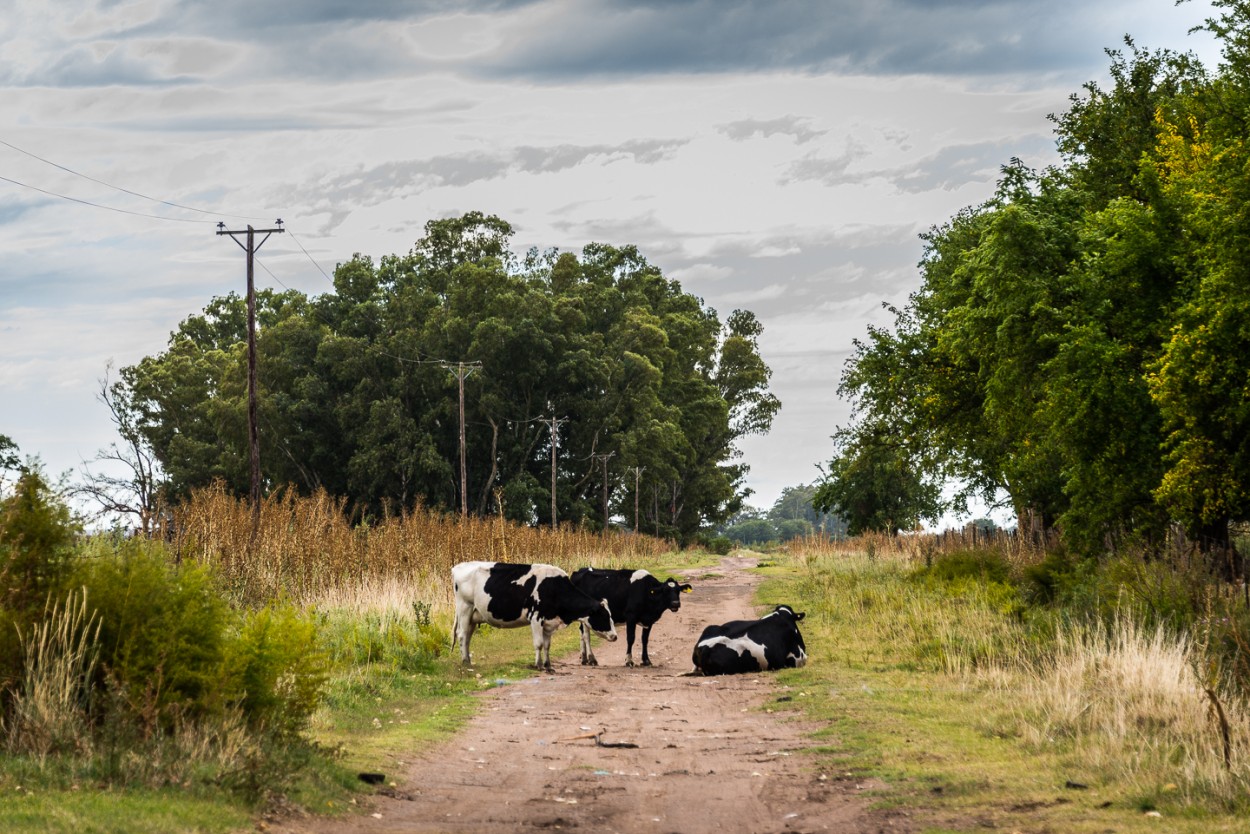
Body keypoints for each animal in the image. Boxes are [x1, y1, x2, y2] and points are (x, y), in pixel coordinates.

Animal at [455, 560, 620, 670]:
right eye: (604, 617)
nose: (615, 636)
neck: (555, 589)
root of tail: (459, 566)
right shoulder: (535, 618)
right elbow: (539, 644)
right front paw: (539, 665)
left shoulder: (548, 622)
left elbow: (547, 645)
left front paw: (548, 665)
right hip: (465, 608)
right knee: (462, 635)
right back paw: (465, 662)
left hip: (473, 616)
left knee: (468, 637)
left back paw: (468, 659)